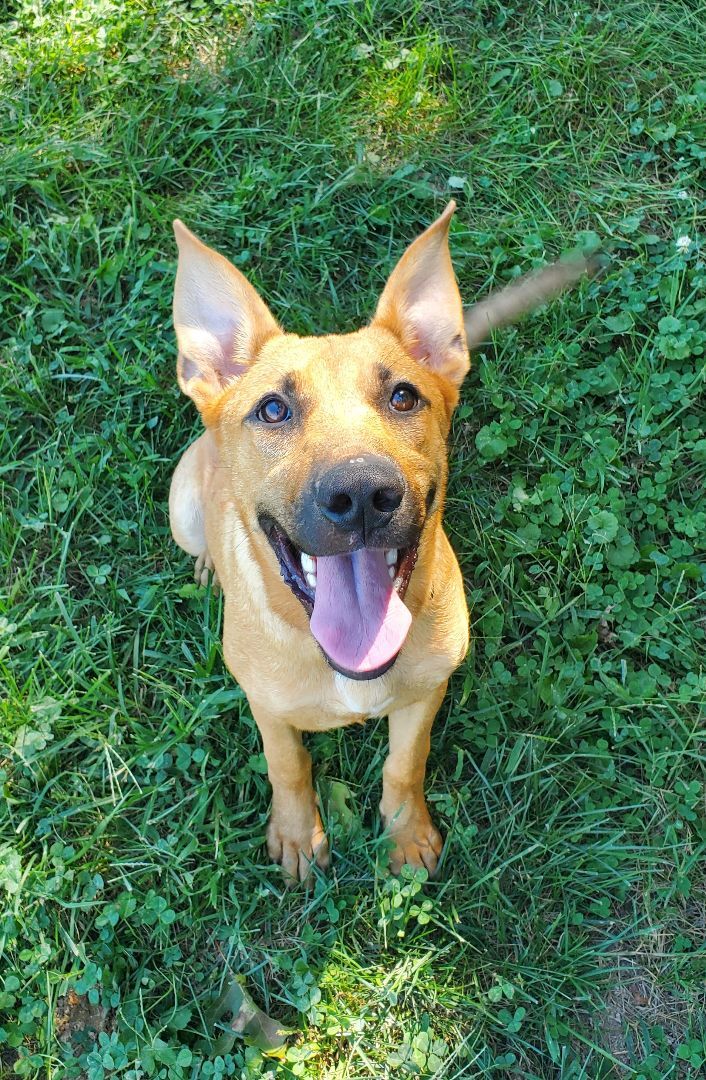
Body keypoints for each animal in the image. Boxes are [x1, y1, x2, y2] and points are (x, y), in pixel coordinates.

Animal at [168, 200, 595, 876]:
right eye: (272, 409)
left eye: (403, 396)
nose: (362, 494)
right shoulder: (266, 706)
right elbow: (288, 766)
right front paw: (297, 836)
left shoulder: (427, 693)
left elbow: (404, 763)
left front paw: (406, 834)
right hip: (182, 507)